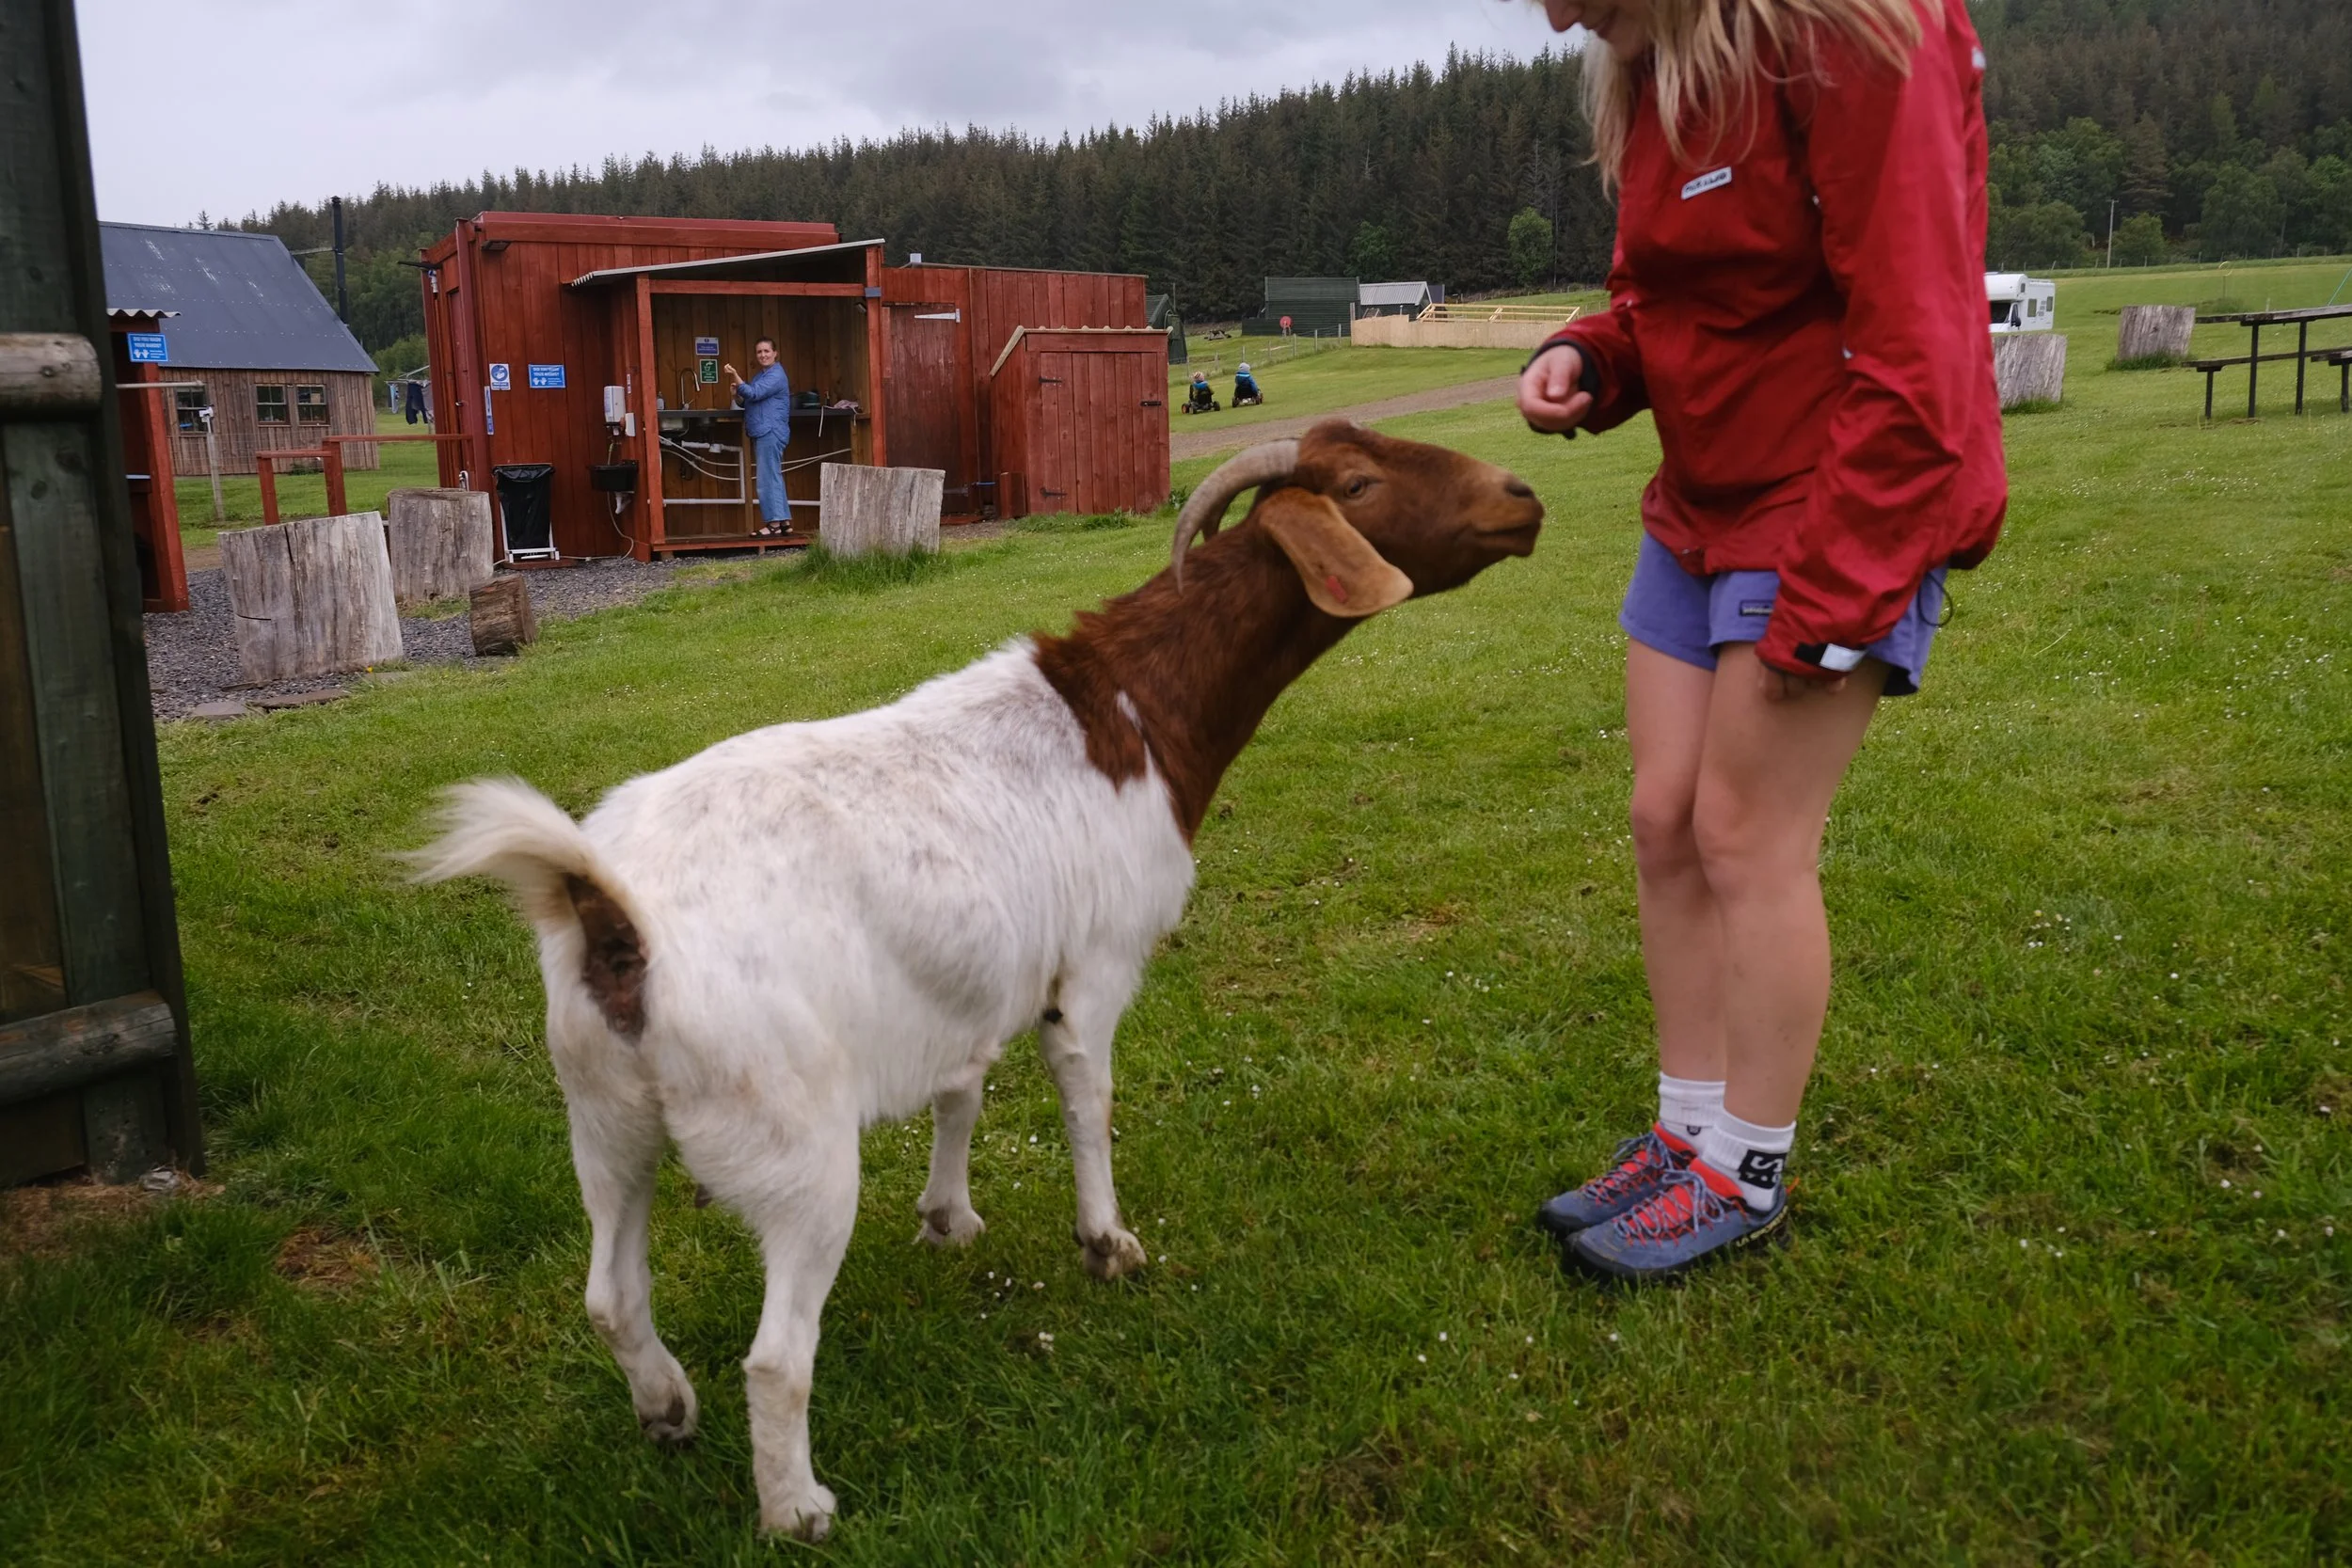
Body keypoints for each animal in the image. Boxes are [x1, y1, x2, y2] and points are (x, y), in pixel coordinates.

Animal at [411, 420, 1542, 1538]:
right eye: (1358, 484)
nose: (1524, 497)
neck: (1131, 714)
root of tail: (611, 912)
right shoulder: (1093, 968)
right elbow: (1088, 1099)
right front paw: (1107, 1244)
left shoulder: (972, 982)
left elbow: (962, 1090)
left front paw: (947, 1216)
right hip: (795, 1145)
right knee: (776, 1356)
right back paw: (798, 1506)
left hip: (604, 1118)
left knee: (611, 1291)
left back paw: (667, 1408)